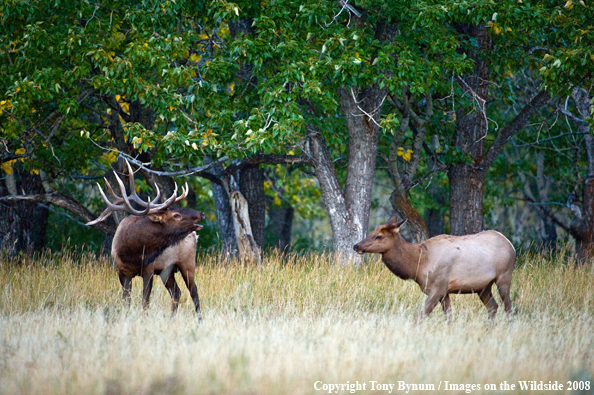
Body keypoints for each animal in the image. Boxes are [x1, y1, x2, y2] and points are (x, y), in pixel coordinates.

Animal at [85, 159, 205, 320]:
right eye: (176, 215)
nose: (201, 214)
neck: (132, 251)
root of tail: (194, 236)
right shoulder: (121, 271)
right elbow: (126, 301)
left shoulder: (149, 269)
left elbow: (145, 301)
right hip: (167, 270)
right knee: (177, 292)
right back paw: (171, 319)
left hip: (187, 262)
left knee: (194, 291)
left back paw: (199, 320)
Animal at [352, 217, 512, 322]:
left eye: (379, 236)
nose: (356, 245)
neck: (418, 264)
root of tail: (509, 243)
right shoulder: (444, 292)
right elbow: (449, 317)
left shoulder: (438, 288)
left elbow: (420, 316)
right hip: (483, 287)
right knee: (493, 307)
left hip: (504, 276)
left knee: (508, 307)